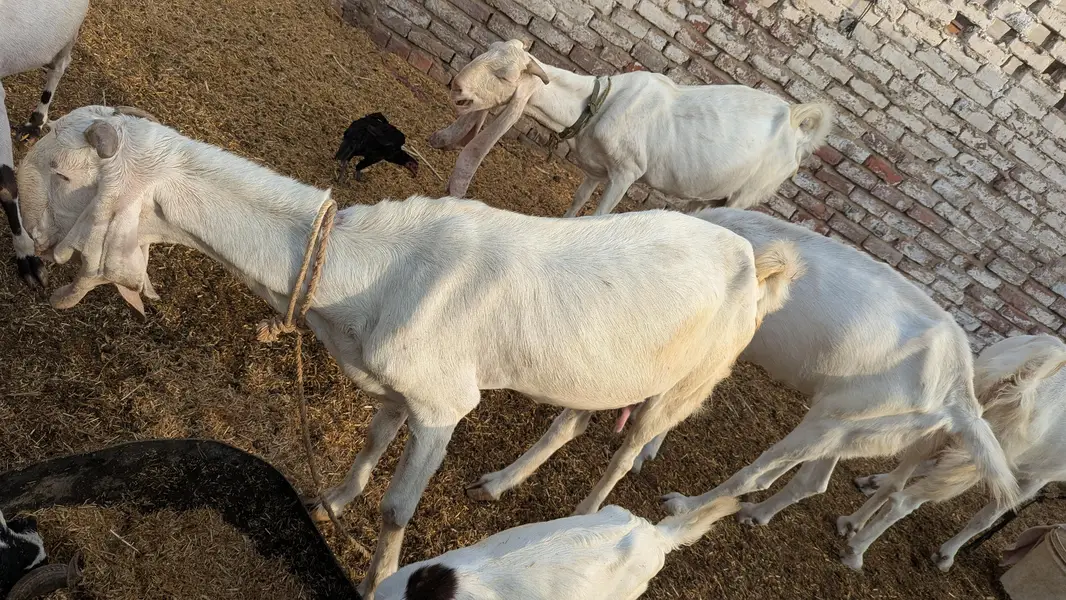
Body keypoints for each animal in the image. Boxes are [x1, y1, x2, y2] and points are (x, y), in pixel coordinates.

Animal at [428, 40, 833, 217]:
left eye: (503, 74)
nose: (457, 87)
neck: (596, 104)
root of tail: (797, 127)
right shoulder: (594, 168)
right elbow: (577, 202)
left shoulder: (626, 173)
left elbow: (599, 216)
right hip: (712, 192)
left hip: (749, 194)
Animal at [628, 208, 1018, 535]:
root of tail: (958, 395)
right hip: (846, 430)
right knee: (814, 481)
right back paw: (757, 514)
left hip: (824, 424)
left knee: (756, 477)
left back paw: (686, 504)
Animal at [839, 334, 1066, 571]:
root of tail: (1025, 372)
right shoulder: (1035, 477)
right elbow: (986, 518)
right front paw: (946, 555)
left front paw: (869, 483)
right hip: (976, 458)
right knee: (903, 502)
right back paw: (855, 552)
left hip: (947, 424)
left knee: (897, 481)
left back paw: (850, 524)